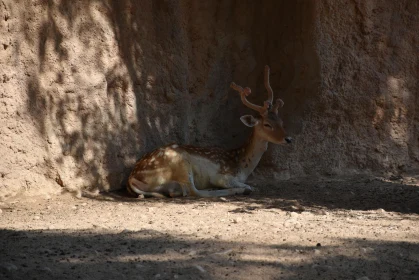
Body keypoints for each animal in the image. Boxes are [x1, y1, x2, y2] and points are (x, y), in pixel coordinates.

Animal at [128, 65, 292, 198]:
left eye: (281, 121)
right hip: (181, 163)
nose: (288, 139)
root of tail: (132, 178)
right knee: (194, 191)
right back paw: (233, 191)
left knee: (178, 192)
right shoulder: (222, 176)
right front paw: (243, 188)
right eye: (267, 124)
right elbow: (248, 185)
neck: (242, 167)